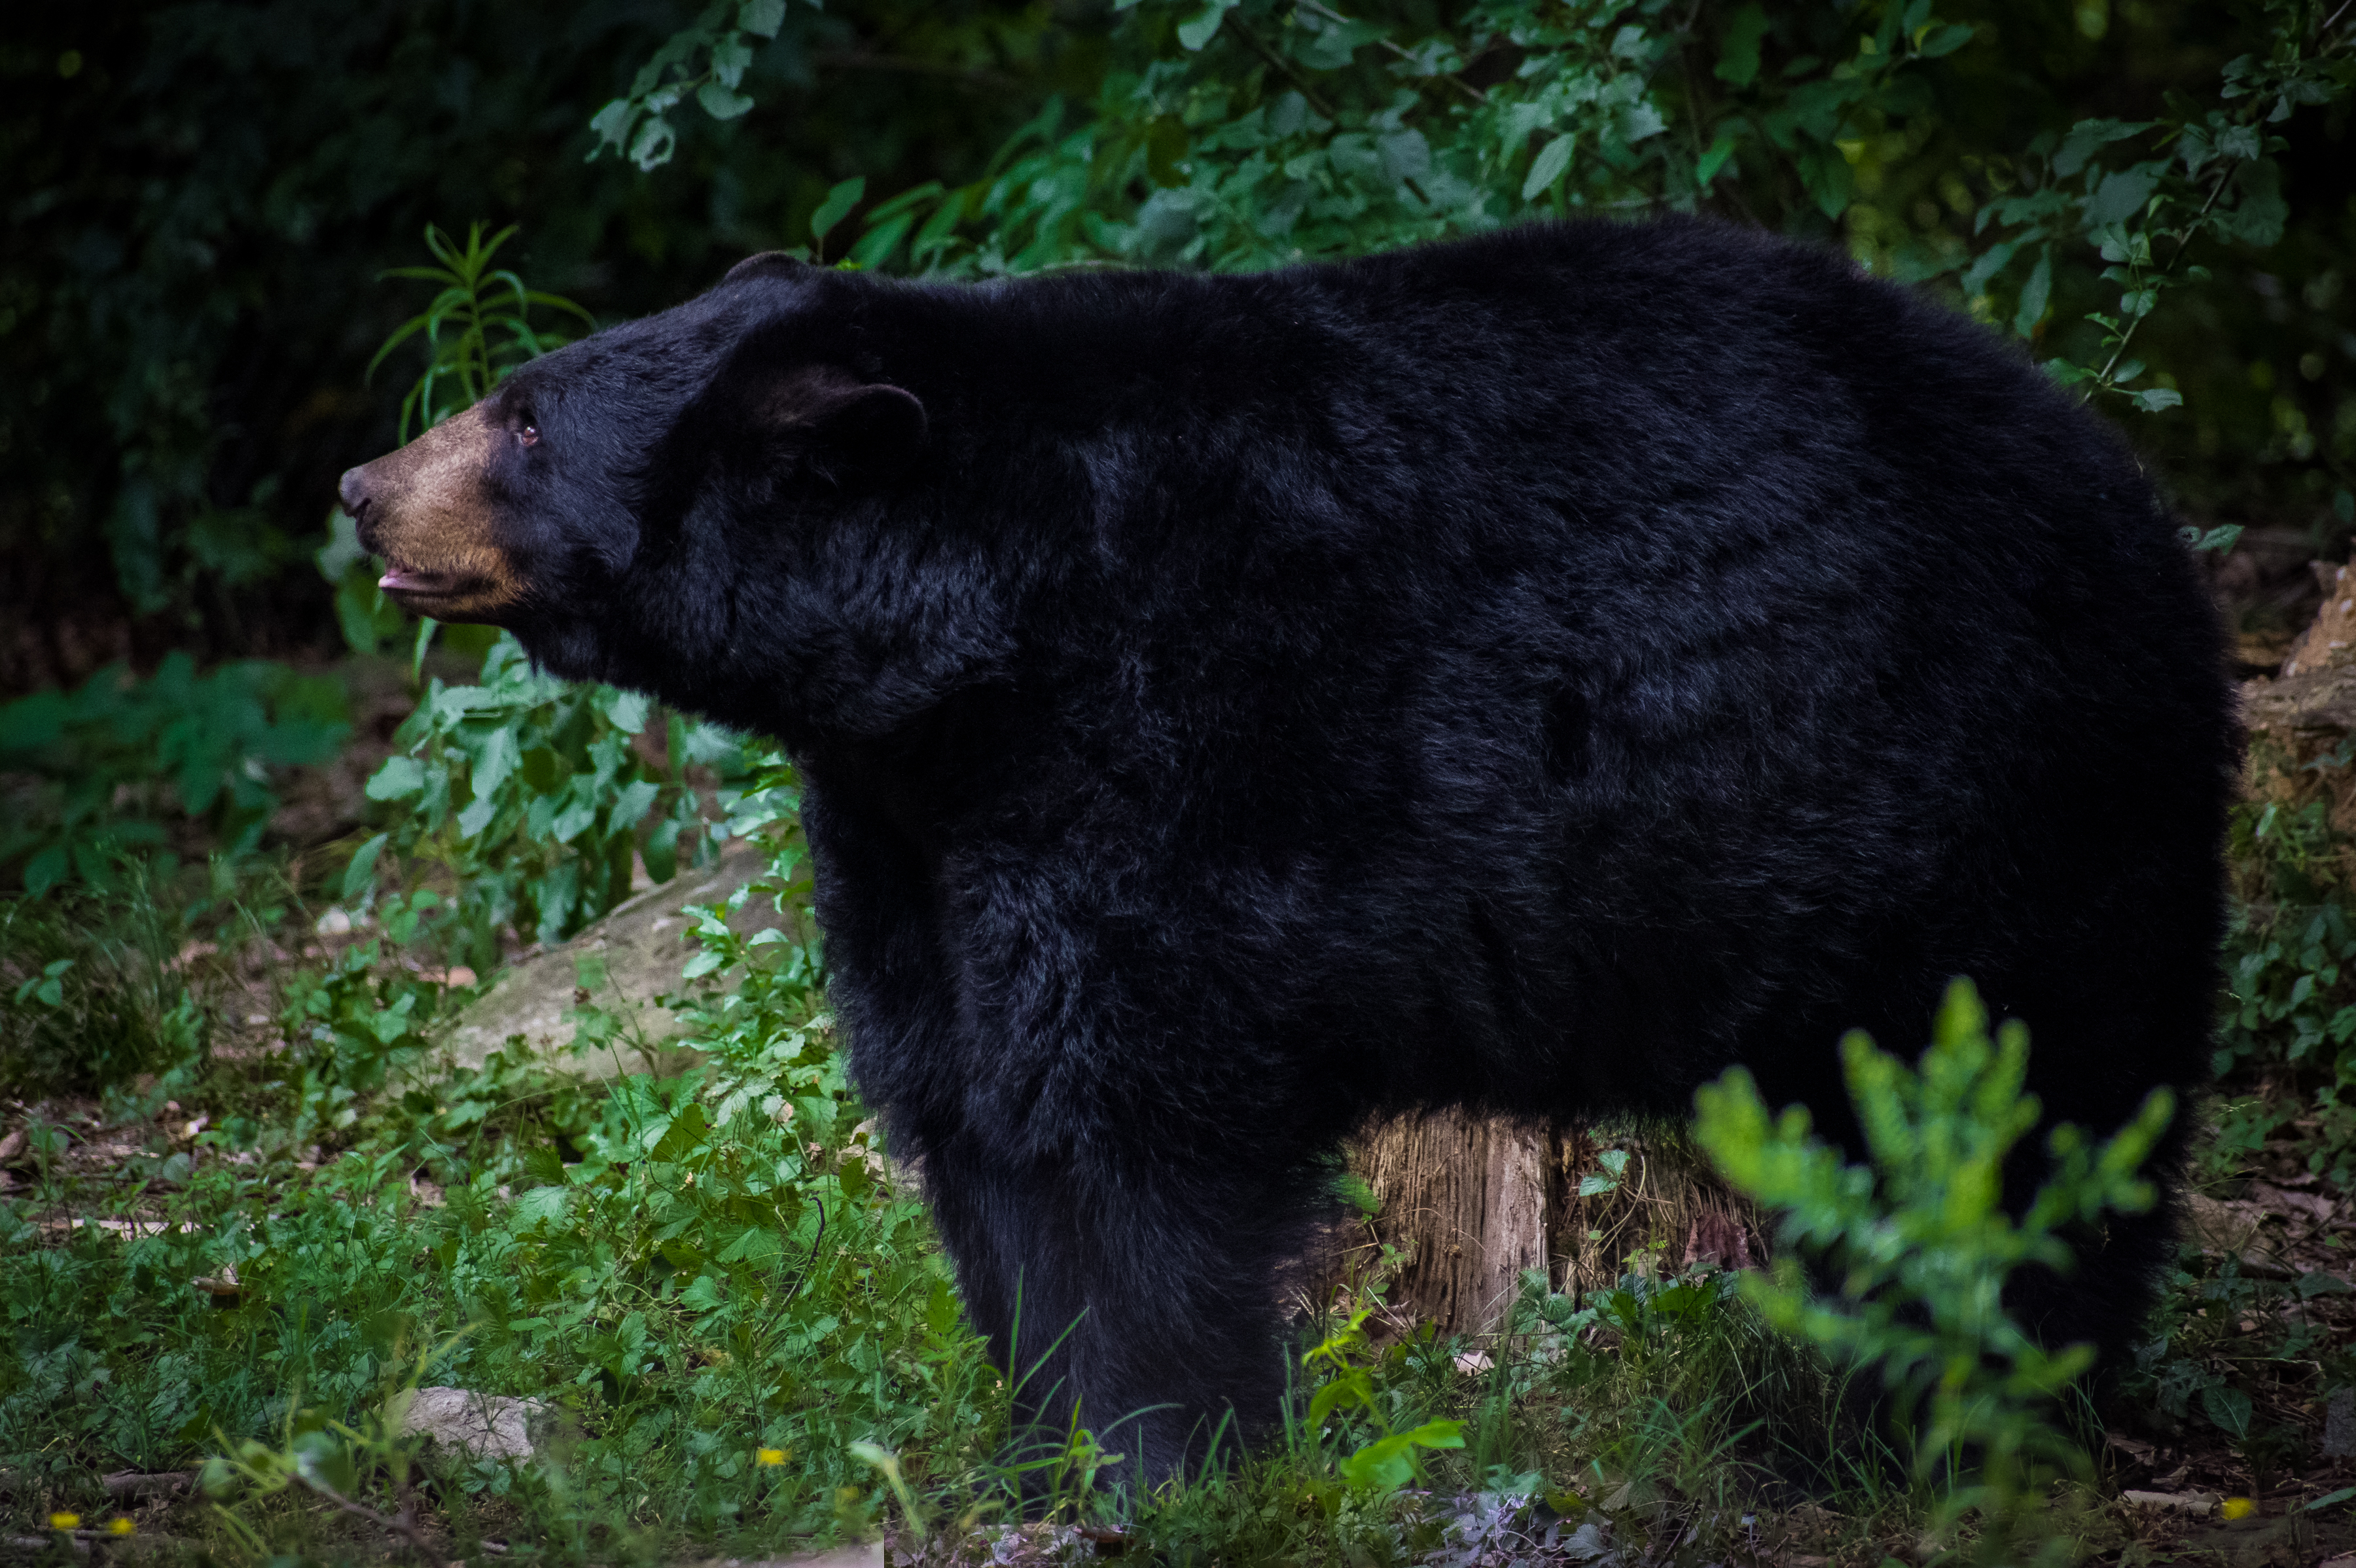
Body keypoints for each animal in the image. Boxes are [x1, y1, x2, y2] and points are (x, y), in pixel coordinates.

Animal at [342, 216, 2233, 1478]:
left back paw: (1960, 1411)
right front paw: (1042, 1445)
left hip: (1994, 808)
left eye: (523, 413)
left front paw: (1162, 1457)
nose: (361, 484)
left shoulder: (1177, 759)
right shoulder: (910, 829)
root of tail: (2132, 487)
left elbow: (1130, 1126)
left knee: (2023, 1125)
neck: (970, 649)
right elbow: (973, 1110)